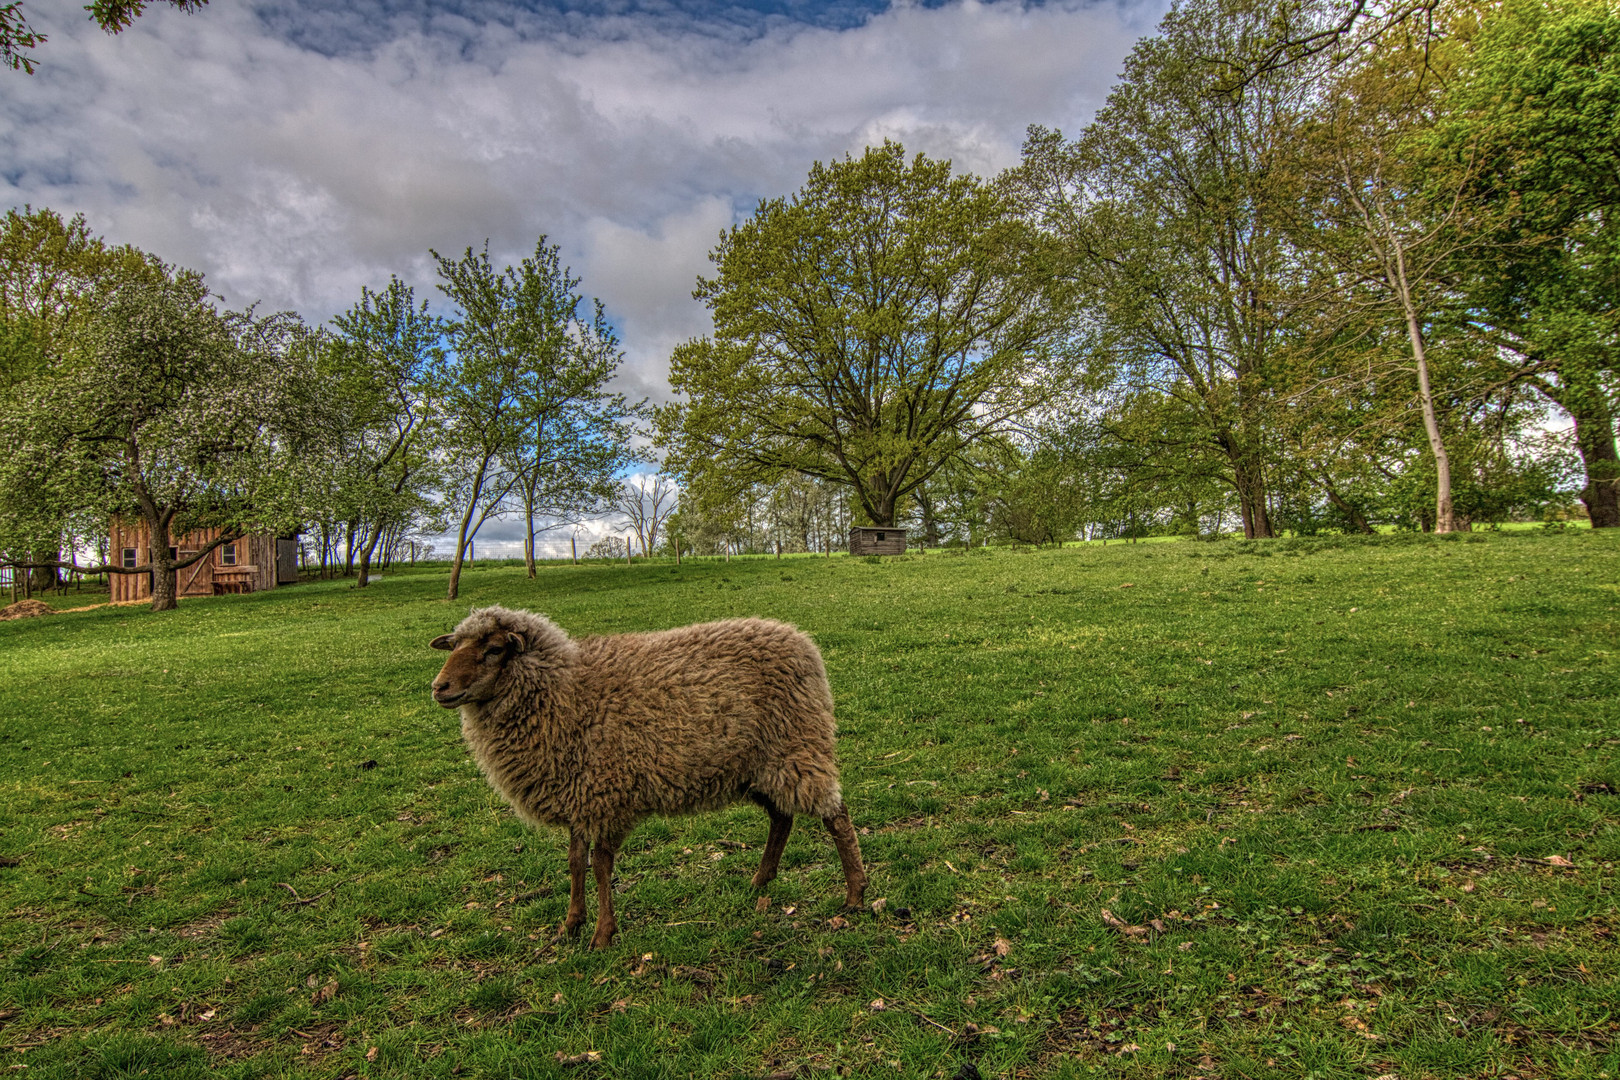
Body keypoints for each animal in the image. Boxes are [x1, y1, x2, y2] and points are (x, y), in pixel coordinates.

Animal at [424, 605, 868, 952]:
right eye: (456, 647)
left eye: (493, 650)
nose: (439, 688)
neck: (564, 691)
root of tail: (800, 639)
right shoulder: (579, 795)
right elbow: (574, 863)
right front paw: (570, 924)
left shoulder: (606, 795)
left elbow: (600, 866)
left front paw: (602, 935)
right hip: (755, 766)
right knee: (781, 817)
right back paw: (761, 880)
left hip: (798, 745)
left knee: (837, 817)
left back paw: (855, 895)